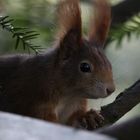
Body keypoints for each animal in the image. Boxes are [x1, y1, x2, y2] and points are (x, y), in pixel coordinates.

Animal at [0, 0, 115, 130]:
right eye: (85, 67)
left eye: (109, 64)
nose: (111, 89)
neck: (69, 96)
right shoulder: (34, 100)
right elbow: (45, 120)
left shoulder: (74, 105)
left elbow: (72, 118)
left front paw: (87, 116)